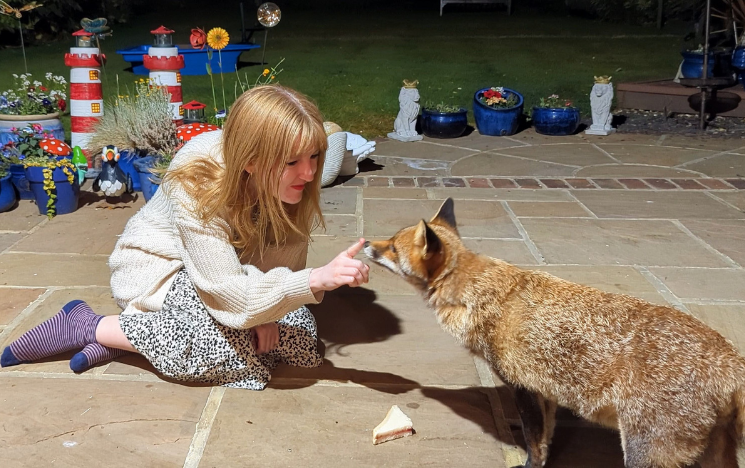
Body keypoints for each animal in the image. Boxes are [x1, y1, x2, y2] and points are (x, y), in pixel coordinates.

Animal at [364, 197, 744, 468]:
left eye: (393, 247)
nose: (366, 242)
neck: (481, 292)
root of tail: (730, 359)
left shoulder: (524, 385)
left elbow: (534, 443)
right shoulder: (545, 391)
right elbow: (546, 438)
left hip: (645, 452)